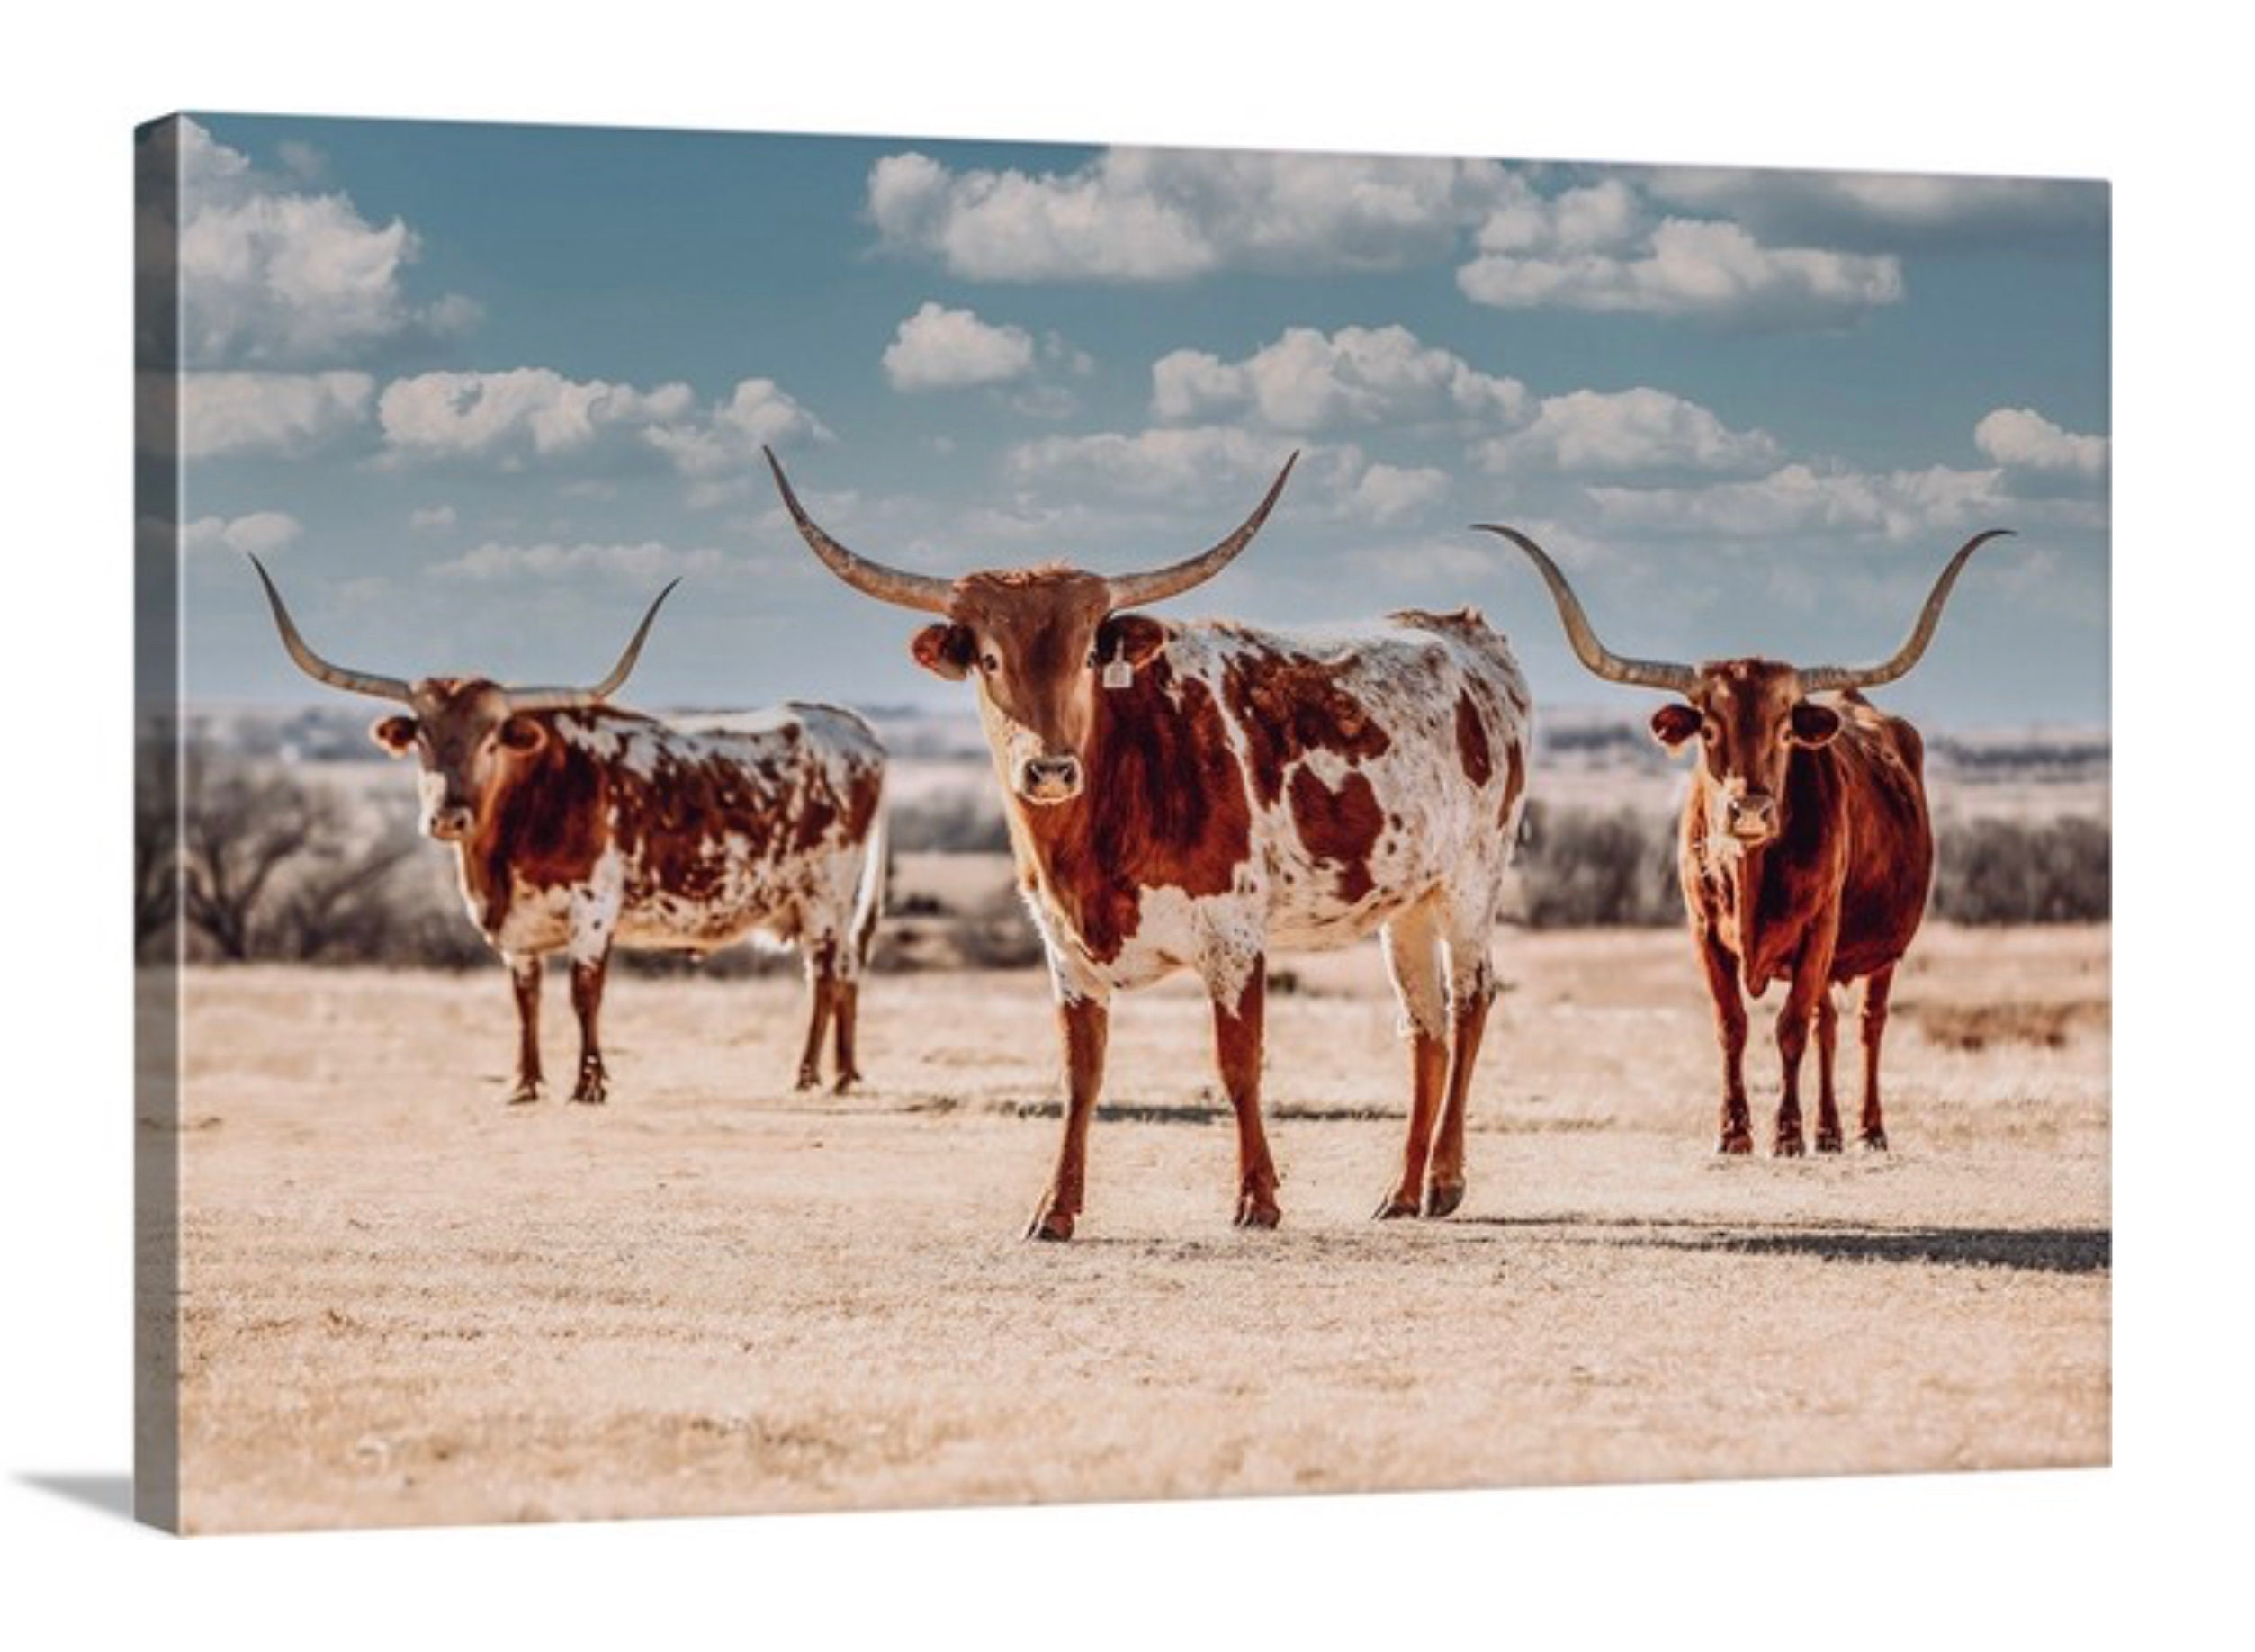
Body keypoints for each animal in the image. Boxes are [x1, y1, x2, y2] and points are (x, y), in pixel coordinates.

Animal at [249, 558, 887, 1103]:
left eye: (491, 738)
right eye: (423, 737)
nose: (449, 816)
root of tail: (852, 727)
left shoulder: (593, 909)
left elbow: (585, 993)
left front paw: (589, 1084)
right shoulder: (517, 932)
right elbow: (525, 998)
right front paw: (525, 1083)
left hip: (826, 894)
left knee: (827, 973)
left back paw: (808, 1075)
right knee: (843, 972)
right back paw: (840, 1074)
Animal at [766, 448, 1532, 1239]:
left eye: (1085, 656)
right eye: (989, 659)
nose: (1049, 769)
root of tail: (1462, 632)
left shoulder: (1233, 937)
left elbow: (1238, 1065)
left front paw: (1257, 1197)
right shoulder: (1064, 948)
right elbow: (1081, 1076)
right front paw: (1056, 1207)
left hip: (1472, 885)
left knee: (1469, 1006)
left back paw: (1444, 1179)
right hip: (1406, 902)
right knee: (1425, 1028)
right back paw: (1403, 1189)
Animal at [1477, 523, 2008, 1157]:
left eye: (1784, 731)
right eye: (1708, 729)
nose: (1750, 807)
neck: (1749, 872)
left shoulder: (1819, 928)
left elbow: (1789, 1028)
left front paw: (1787, 1134)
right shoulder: (1704, 931)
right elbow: (1733, 1024)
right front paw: (1734, 1132)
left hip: (1881, 952)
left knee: (1866, 1024)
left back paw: (1867, 1129)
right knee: (1830, 1023)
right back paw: (1829, 1132)